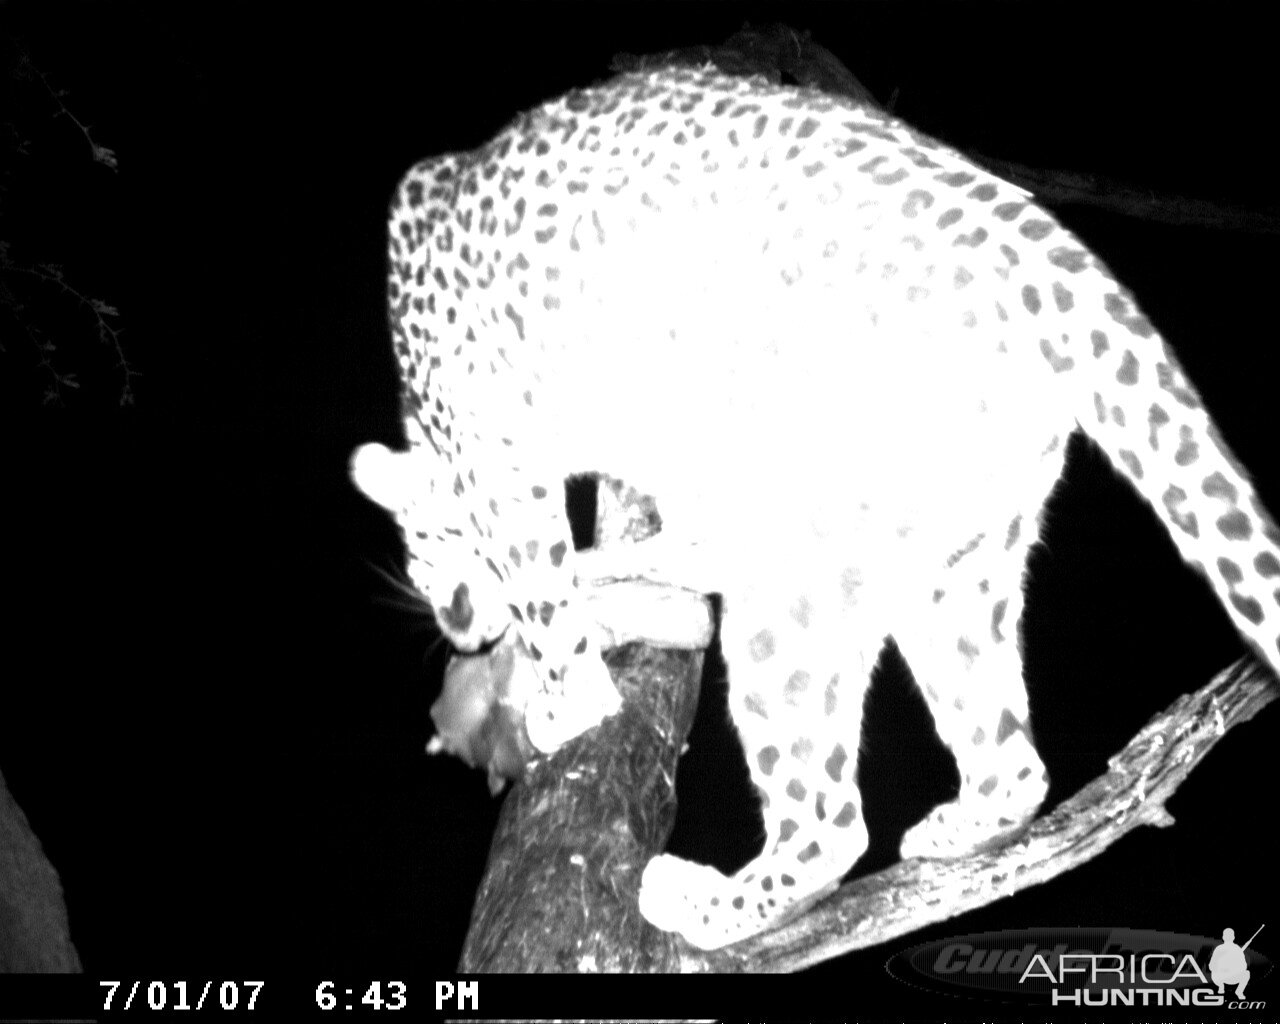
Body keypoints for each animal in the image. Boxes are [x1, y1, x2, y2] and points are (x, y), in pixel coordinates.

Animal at [350, 65, 1280, 952]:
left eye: (423, 562)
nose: (461, 630)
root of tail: (1038, 246)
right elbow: (642, 563)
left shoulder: (502, 466)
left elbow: (550, 593)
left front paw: (566, 696)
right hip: (956, 564)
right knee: (1011, 761)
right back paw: (956, 828)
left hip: (793, 587)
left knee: (830, 823)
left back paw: (701, 901)